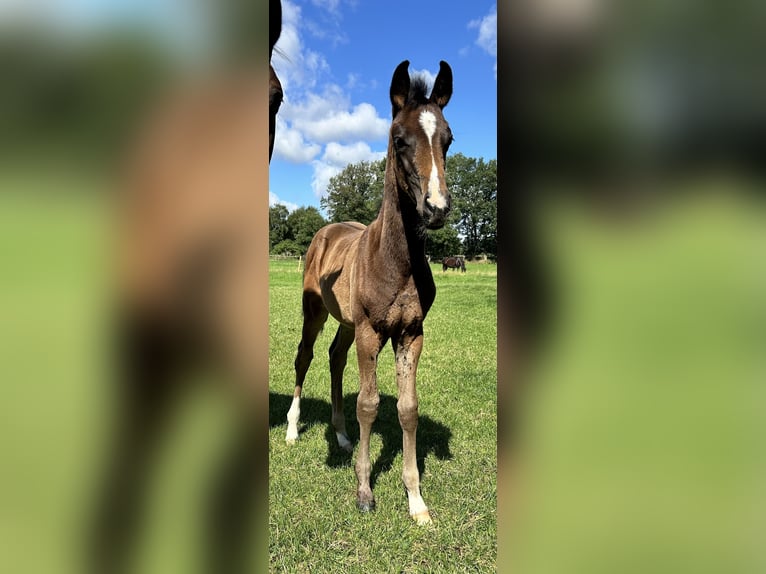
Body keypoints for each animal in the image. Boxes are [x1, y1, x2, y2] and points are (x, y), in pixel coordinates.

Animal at [288, 59, 456, 528]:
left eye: (448, 139)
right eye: (400, 140)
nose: (436, 209)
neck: (395, 260)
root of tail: (325, 230)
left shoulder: (410, 334)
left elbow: (407, 408)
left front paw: (416, 500)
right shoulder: (370, 333)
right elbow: (368, 403)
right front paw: (364, 490)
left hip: (347, 323)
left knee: (334, 357)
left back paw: (342, 436)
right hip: (316, 312)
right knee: (305, 357)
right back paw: (291, 429)